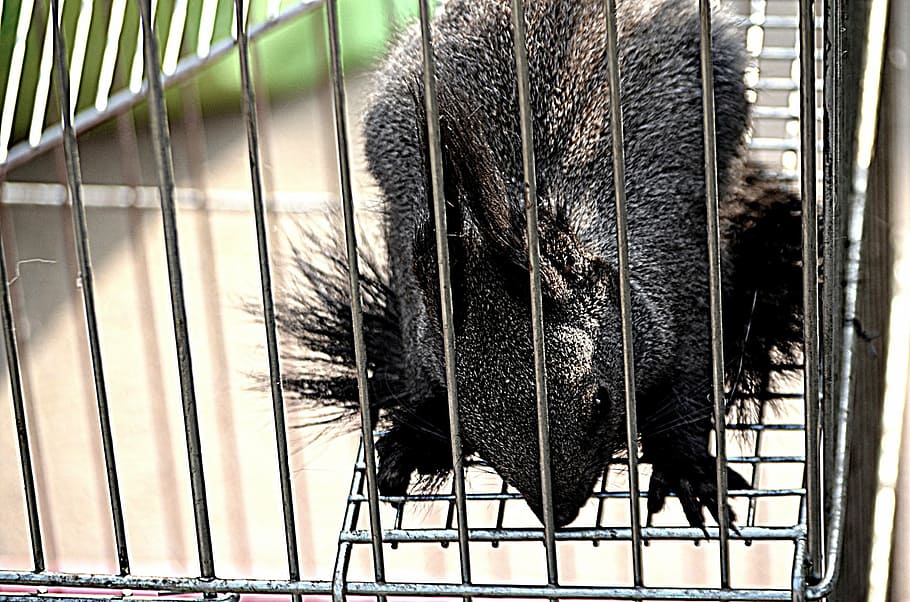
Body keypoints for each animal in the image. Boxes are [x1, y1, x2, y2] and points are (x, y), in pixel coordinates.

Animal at [278, 0, 803, 529]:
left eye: (600, 403)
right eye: (469, 425)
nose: (563, 513)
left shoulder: (684, 266)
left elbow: (691, 375)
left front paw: (684, 464)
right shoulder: (415, 283)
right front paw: (420, 435)